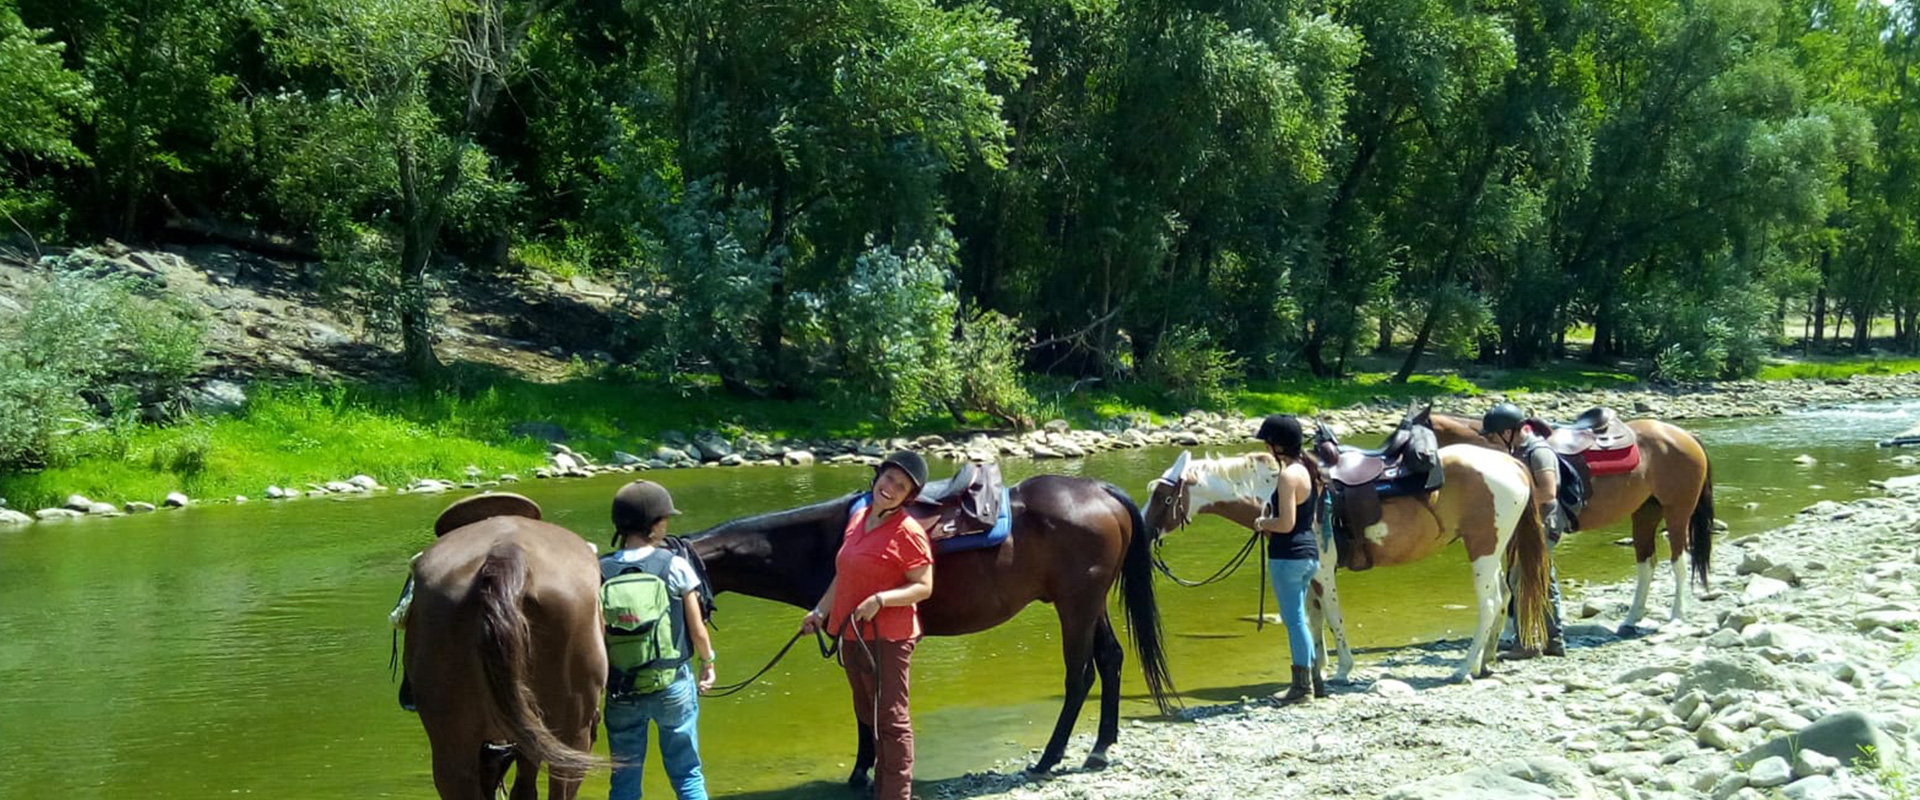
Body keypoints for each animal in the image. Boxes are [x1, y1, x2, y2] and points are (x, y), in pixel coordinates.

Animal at [683, 473, 1175, 778]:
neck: (822, 543)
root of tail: (1100, 490)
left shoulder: (858, 643)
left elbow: (866, 708)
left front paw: (863, 770)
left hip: (1075, 606)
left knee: (1080, 675)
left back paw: (1049, 758)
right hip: (1090, 604)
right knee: (1110, 660)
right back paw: (1100, 747)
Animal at [1436, 410, 1720, 629]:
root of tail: (1684, 435)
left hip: (1677, 511)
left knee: (1679, 562)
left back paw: (1677, 616)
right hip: (1645, 513)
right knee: (1646, 564)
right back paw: (1631, 618)